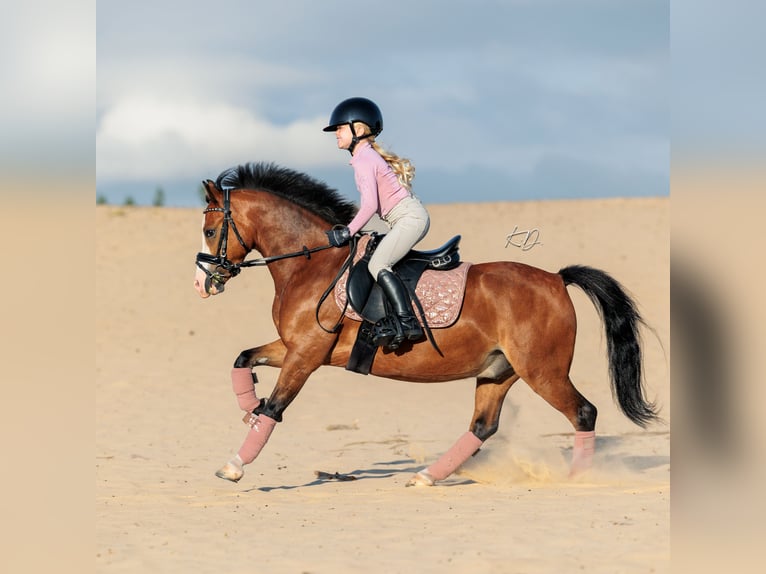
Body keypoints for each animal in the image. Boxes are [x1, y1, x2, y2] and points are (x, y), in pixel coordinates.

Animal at [193, 162, 659, 486]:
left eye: (211, 230)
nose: (202, 283)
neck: (312, 265)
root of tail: (556, 279)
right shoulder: (295, 347)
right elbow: (243, 359)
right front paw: (247, 409)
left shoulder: (306, 354)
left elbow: (275, 406)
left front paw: (234, 464)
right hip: (499, 371)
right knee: (482, 426)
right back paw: (428, 476)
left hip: (542, 371)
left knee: (583, 412)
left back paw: (579, 479)